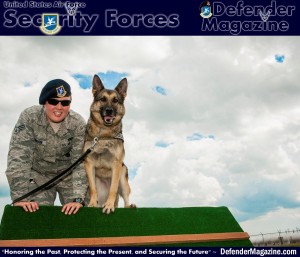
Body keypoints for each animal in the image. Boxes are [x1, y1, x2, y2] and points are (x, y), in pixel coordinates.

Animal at [84, 74, 136, 214]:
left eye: (115, 100)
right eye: (102, 99)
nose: (109, 111)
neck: (104, 135)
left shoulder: (116, 165)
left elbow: (113, 189)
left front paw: (109, 205)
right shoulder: (89, 164)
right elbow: (93, 190)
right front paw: (91, 204)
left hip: (123, 178)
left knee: (124, 198)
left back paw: (129, 206)